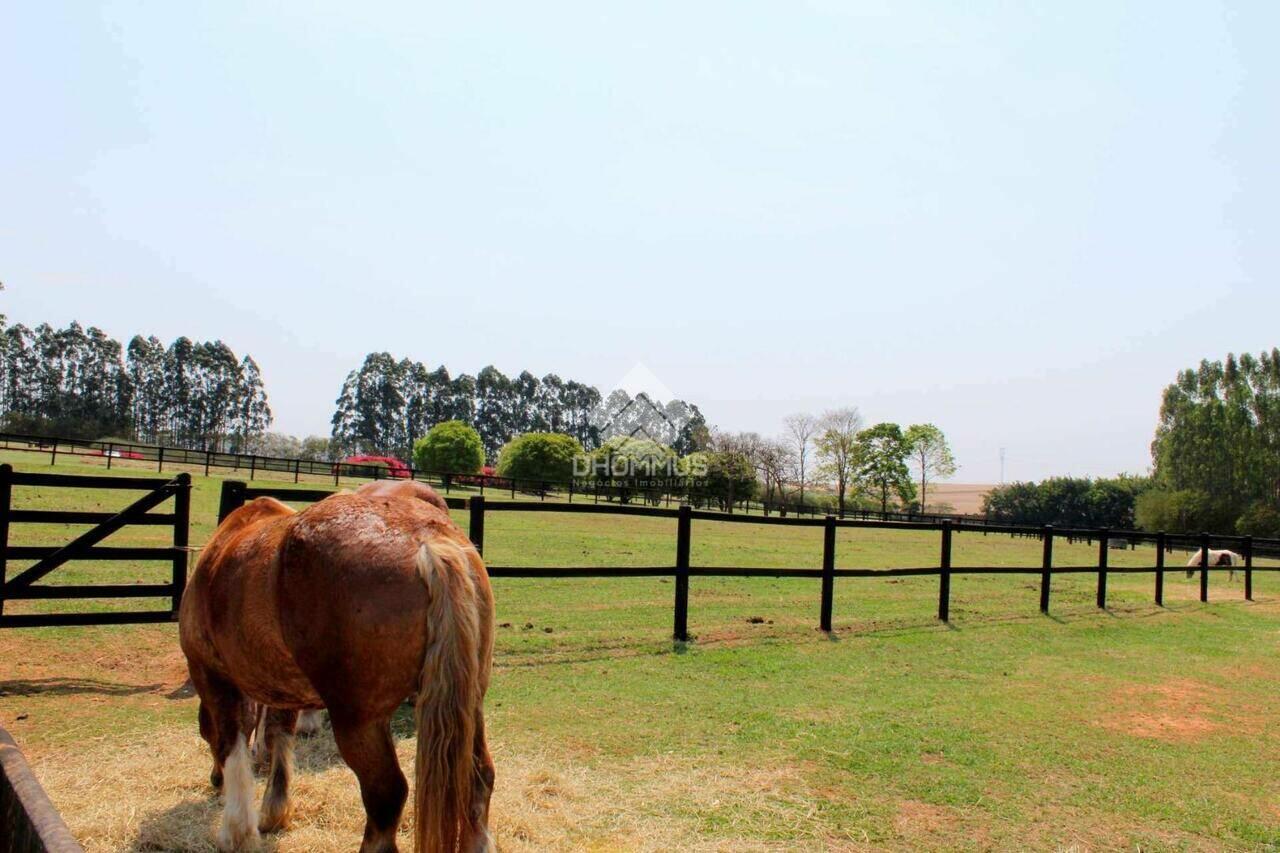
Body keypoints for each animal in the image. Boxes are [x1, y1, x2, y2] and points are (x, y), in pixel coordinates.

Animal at [179, 481, 494, 845]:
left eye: (203, 731)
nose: (215, 781)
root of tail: (426, 542)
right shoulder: (282, 687)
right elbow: (278, 735)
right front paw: (274, 811)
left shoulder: (211, 675)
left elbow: (234, 741)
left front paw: (237, 831)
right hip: (469, 704)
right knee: (478, 782)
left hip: (359, 722)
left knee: (386, 796)